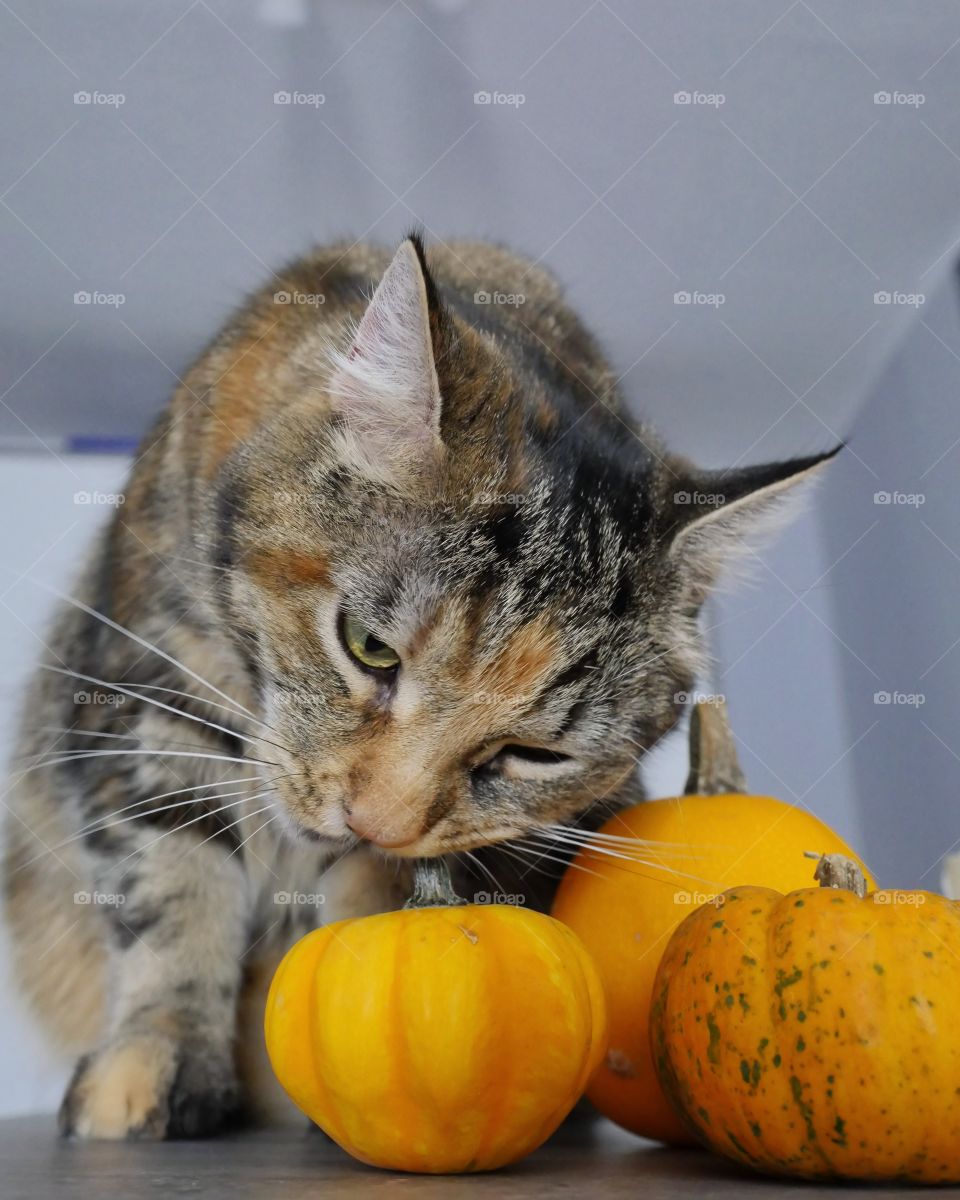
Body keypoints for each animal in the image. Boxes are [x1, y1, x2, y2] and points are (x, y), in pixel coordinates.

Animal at [1, 231, 830, 1132]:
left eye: (534, 754)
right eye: (369, 648)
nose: (376, 822)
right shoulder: (148, 683)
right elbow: (173, 878)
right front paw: (160, 1052)